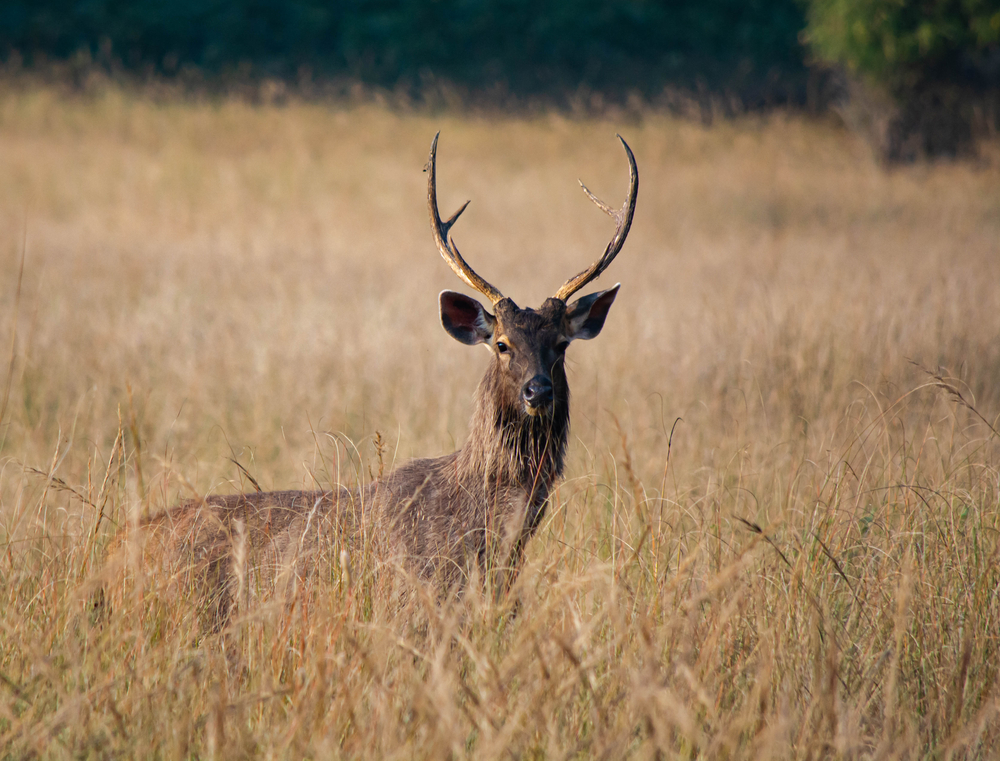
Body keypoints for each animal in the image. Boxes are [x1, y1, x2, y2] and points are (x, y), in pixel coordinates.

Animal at [108, 133, 638, 625]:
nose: (537, 390)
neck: (485, 532)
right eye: (502, 344)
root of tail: (115, 548)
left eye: (561, 345)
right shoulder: (413, 604)